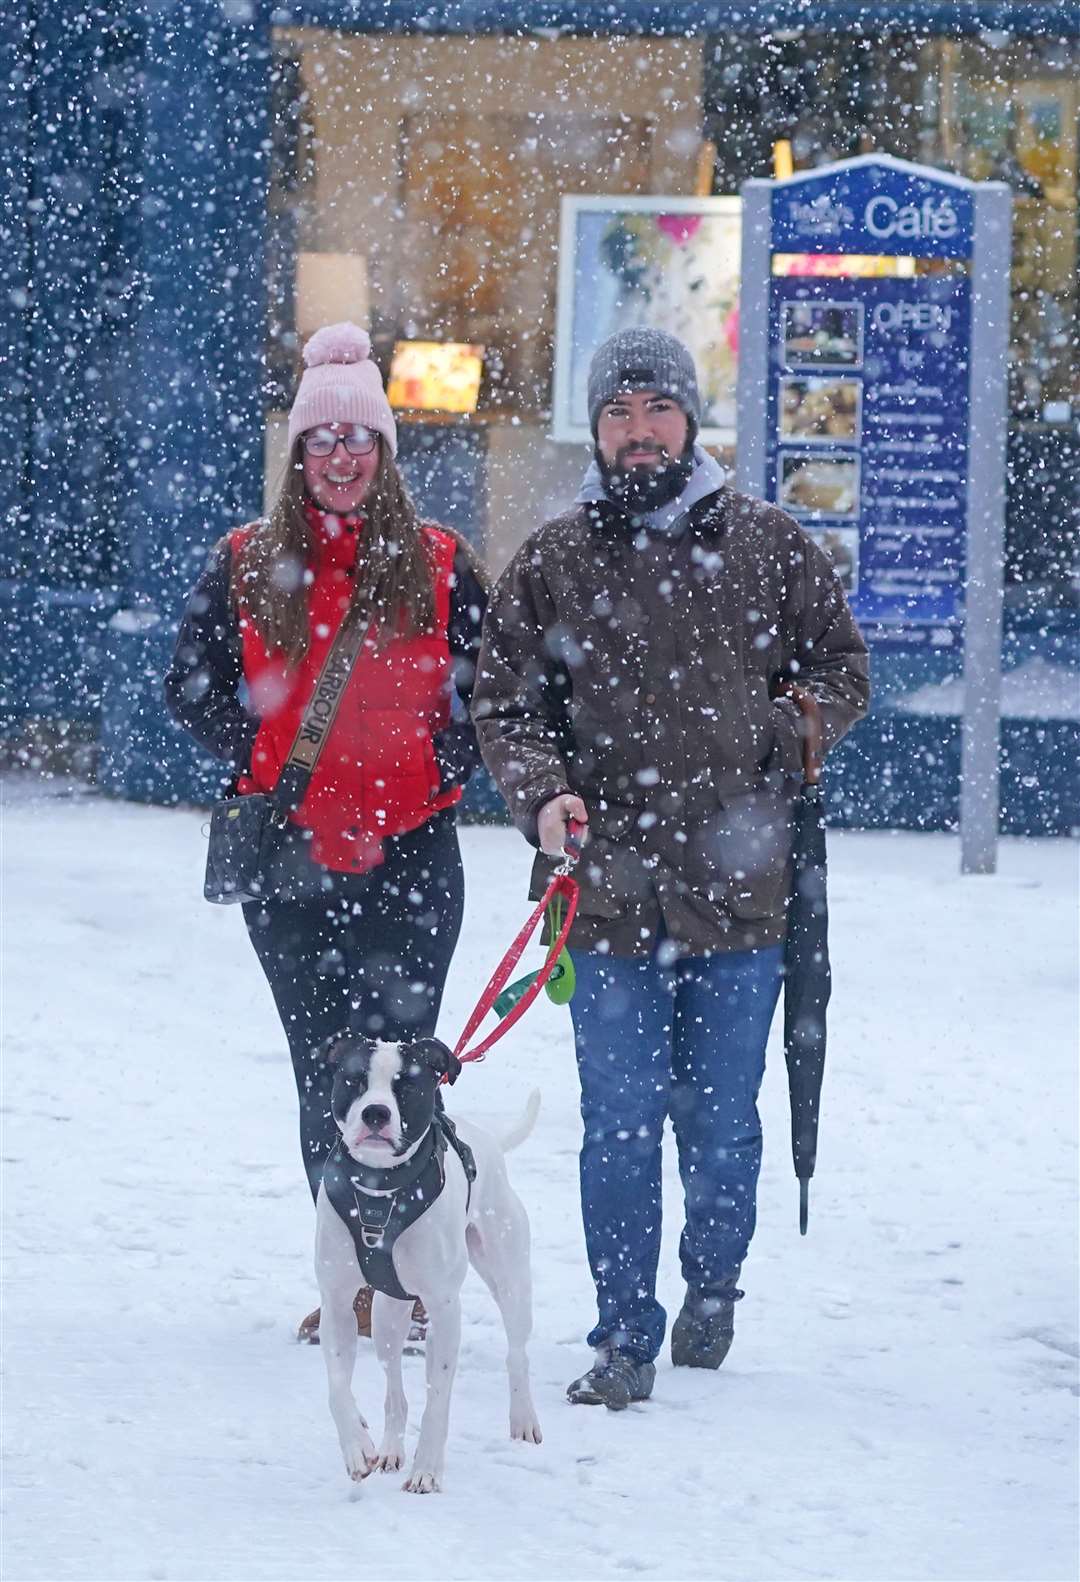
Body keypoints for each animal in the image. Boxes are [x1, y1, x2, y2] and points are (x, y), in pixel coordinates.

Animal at [316, 1037, 543, 1493]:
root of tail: (488, 1139)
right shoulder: (336, 1302)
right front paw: (357, 1448)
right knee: (394, 1391)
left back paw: (523, 1419)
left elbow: (438, 1400)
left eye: (405, 1085)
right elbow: (337, 1386)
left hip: (509, 1279)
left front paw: (426, 1471)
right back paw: (389, 1448)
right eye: (355, 1080)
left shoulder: (443, 1307)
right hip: (387, 1316)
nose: (376, 1112)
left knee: (517, 1353)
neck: (380, 1189)